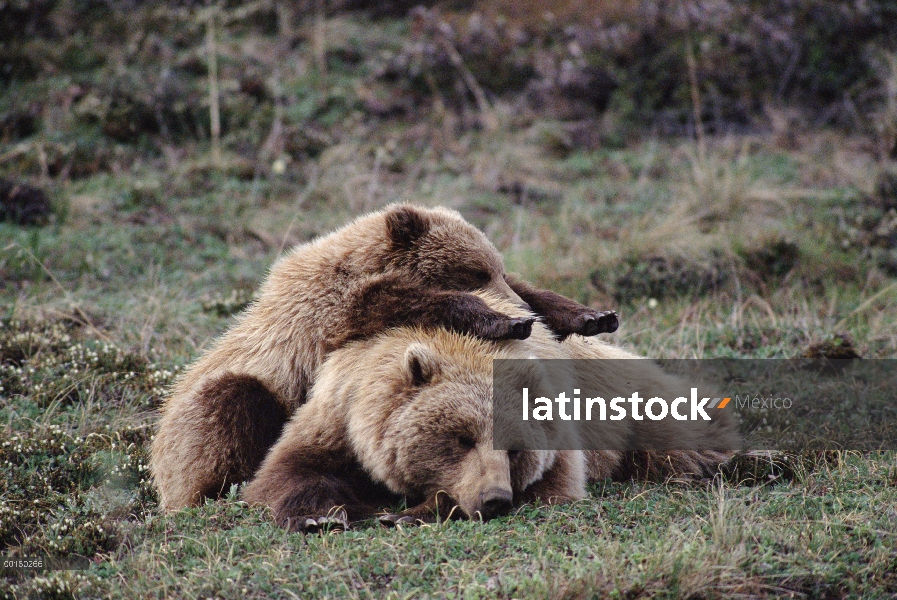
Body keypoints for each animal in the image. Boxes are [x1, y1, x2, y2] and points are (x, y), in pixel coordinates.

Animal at [150, 204, 620, 508]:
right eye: (475, 272)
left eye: (497, 269)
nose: (521, 314)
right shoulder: (325, 316)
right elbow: (398, 301)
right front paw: (501, 320)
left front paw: (590, 315)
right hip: (202, 421)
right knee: (231, 403)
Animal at [243, 292, 736, 532]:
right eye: (459, 438)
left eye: (515, 449)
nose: (495, 498)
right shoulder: (339, 412)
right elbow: (289, 470)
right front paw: (321, 516)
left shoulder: (560, 435)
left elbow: (555, 486)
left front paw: (408, 512)